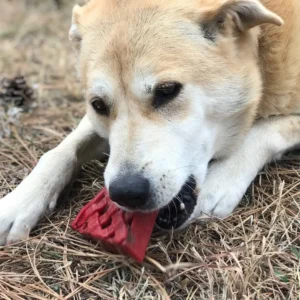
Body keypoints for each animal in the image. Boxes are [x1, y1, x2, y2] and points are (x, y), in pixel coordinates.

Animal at [0, 0, 300, 245]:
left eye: (167, 91)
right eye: (98, 105)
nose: (126, 193)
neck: (262, 54)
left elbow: (264, 131)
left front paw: (221, 179)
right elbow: (60, 152)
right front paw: (19, 202)